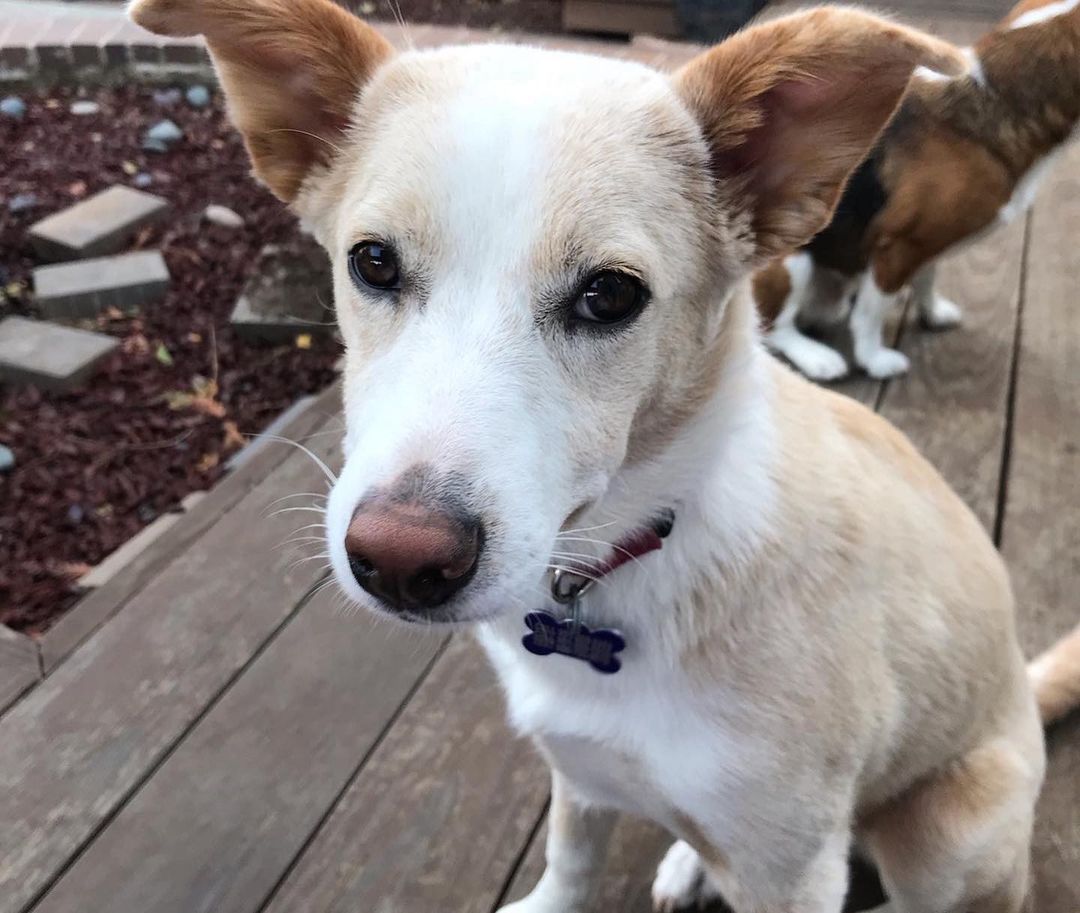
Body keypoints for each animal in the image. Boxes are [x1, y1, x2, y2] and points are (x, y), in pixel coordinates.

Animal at [756, 0, 1080, 380]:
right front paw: (874, 359)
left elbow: (926, 280)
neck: (993, 101)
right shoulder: (896, 246)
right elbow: (871, 313)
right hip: (792, 263)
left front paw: (933, 314)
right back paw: (818, 357)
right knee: (772, 329)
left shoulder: (925, 243)